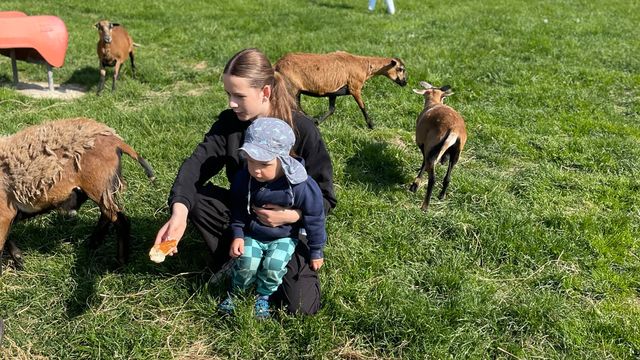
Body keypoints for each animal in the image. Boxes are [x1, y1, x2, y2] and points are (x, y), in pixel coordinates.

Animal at [0, 118, 155, 272]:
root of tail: (115, 140)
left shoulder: (5, 213)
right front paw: (19, 259)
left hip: (98, 186)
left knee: (121, 221)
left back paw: (120, 263)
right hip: (105, 189)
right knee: (107, 215)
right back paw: (93, 244)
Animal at [274, 50, 404, 129]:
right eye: (400, 69)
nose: (405, 83)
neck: (365, 66)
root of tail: (277, 65)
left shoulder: (333, 92)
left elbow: (332, 109)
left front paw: (318, 121)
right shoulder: (354, 87)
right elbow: (363, 106)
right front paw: (371, 125)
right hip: (292, 87)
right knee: (294, 107)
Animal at [408, 81, 468, 211]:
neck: (434, 103)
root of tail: (454, 130)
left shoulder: (424, 145)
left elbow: (423, 164)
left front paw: (415, 185)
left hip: (432, 149)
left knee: (432, 179)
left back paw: (424, 207)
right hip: (456, 153)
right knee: (447, 177)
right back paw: (441, 196)